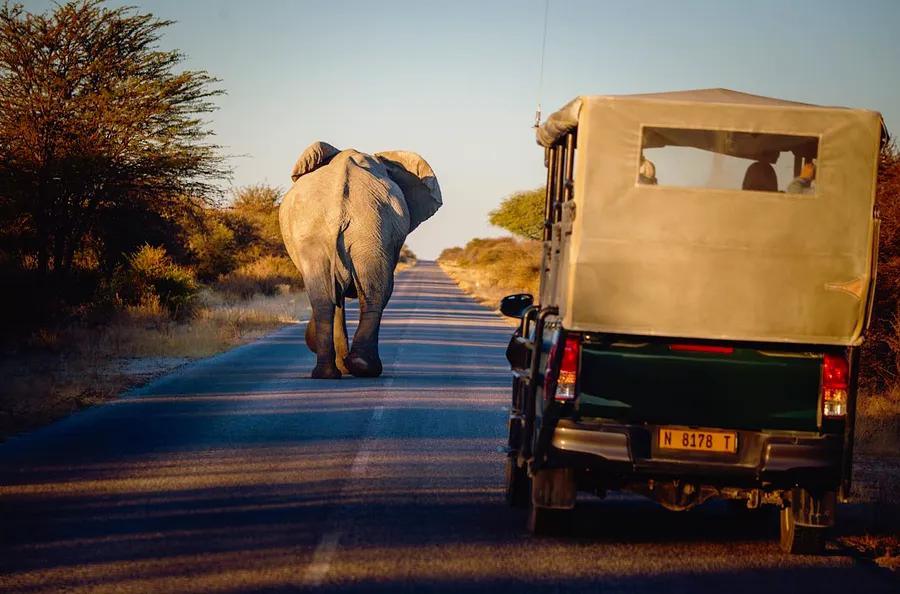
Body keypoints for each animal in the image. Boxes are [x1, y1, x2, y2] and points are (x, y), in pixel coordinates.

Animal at [278, 141, 440, 376]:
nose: (309, 340)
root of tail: (340, 206)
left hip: (361, 231)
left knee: (329, 299)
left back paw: (337, 371)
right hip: (359, 230)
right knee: (370, 294)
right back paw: (356, 368)